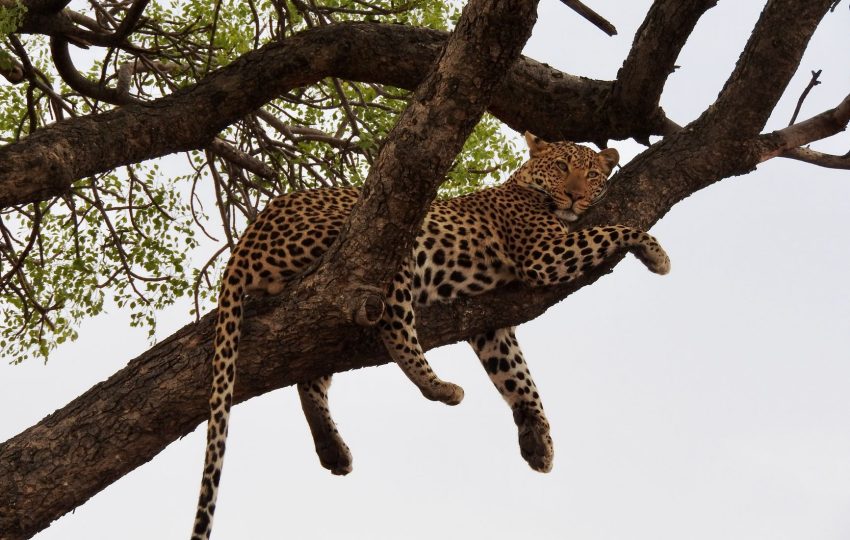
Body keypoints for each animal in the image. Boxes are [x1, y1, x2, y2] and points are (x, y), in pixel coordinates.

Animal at [191, 132, 670, 539]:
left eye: (592, 175)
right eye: (561, 166)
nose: (574, 195)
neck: (524, 186)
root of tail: (248, 236)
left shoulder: (491, 324)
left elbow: (518, 377)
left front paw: (538, 440)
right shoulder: (545, 255)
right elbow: (616, 229)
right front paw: (657, 254)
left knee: (310, 375)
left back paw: (333, 449)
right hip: (388, 250)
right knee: (396, 329)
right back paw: (440, 387)